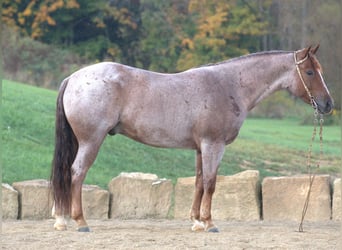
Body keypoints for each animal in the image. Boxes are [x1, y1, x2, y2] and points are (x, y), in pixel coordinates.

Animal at [51, 45, 334, 232]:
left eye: (320, 70)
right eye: (310, 72)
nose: (328, 105)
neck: (229, 85)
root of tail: (73, 77)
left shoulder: (200, 148)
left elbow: (199, 182)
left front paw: (196, 221)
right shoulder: (213, 145)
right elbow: (210, 183)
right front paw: (209, 223)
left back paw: (62, 219)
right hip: (91, 141)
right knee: (76, 173)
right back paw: (80, 222)